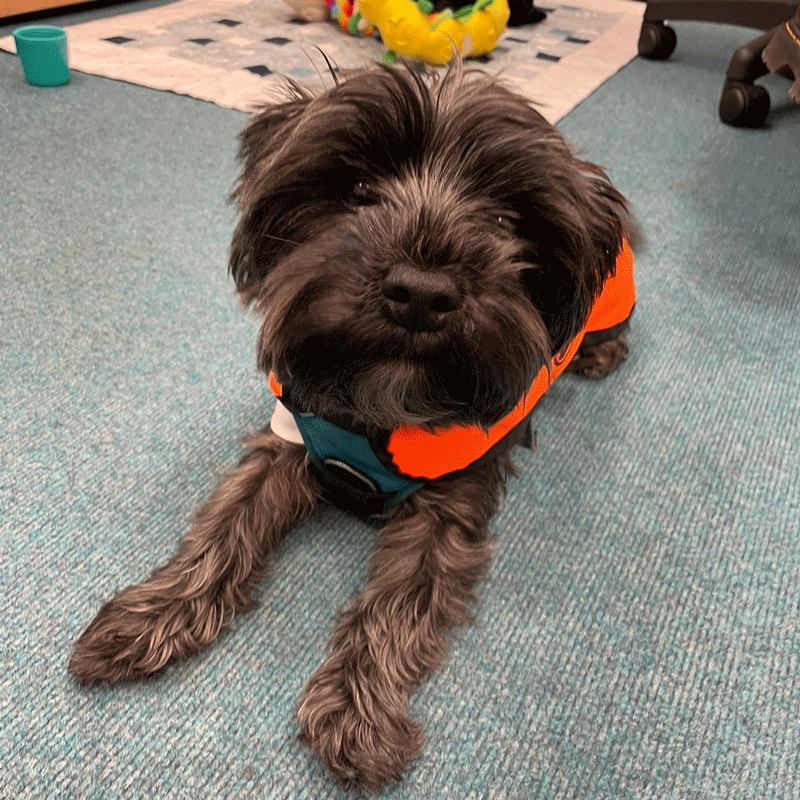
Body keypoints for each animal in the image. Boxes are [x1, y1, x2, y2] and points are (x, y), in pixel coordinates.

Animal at [70, 65, 636, 792]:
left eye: (506, 221)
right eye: (360, 191)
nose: (422, 292)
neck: (380, 404)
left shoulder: (448, 507)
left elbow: (392, 608)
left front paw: (359, 713)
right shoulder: (288, 441)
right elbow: (221, 528)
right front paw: (151, 612)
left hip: (613, 304)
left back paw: (598, 353)